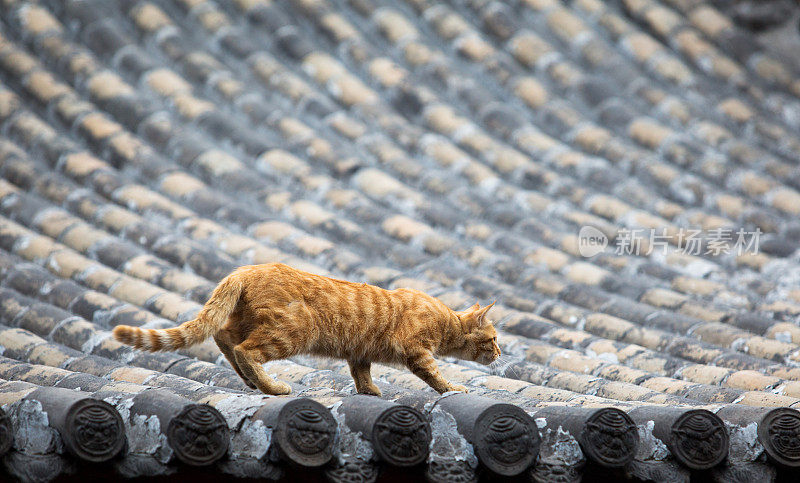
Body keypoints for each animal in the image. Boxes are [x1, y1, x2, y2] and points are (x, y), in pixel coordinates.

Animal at [112, 264, 500, 398]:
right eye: (495, 339)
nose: (500, 353)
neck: (447, 321)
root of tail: (246, 268)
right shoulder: (416, 349)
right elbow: (436, 375)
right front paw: (454, 387)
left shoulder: (360, 353)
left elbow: (361, 373)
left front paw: (370, 392)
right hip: (290, 333)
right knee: (244, 350)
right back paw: (271, 387)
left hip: (247, 321)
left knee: (223, 337)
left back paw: (251, 382)